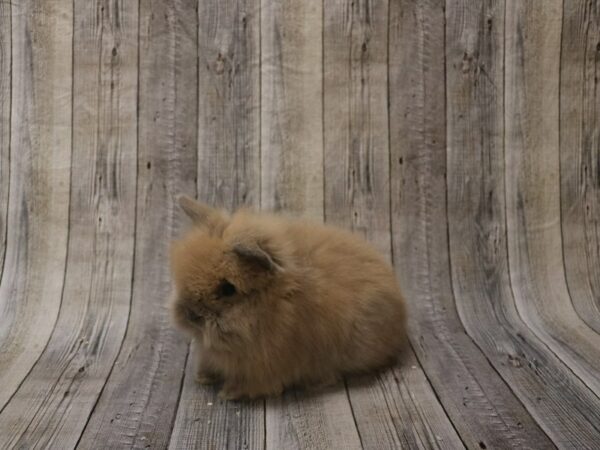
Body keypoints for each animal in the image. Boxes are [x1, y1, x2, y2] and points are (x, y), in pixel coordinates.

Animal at [169, 195, 408, 400]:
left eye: (228, 289)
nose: (190, 315)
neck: (275, 302)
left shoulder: (265, 365)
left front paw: (228, 393)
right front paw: (203, 377)